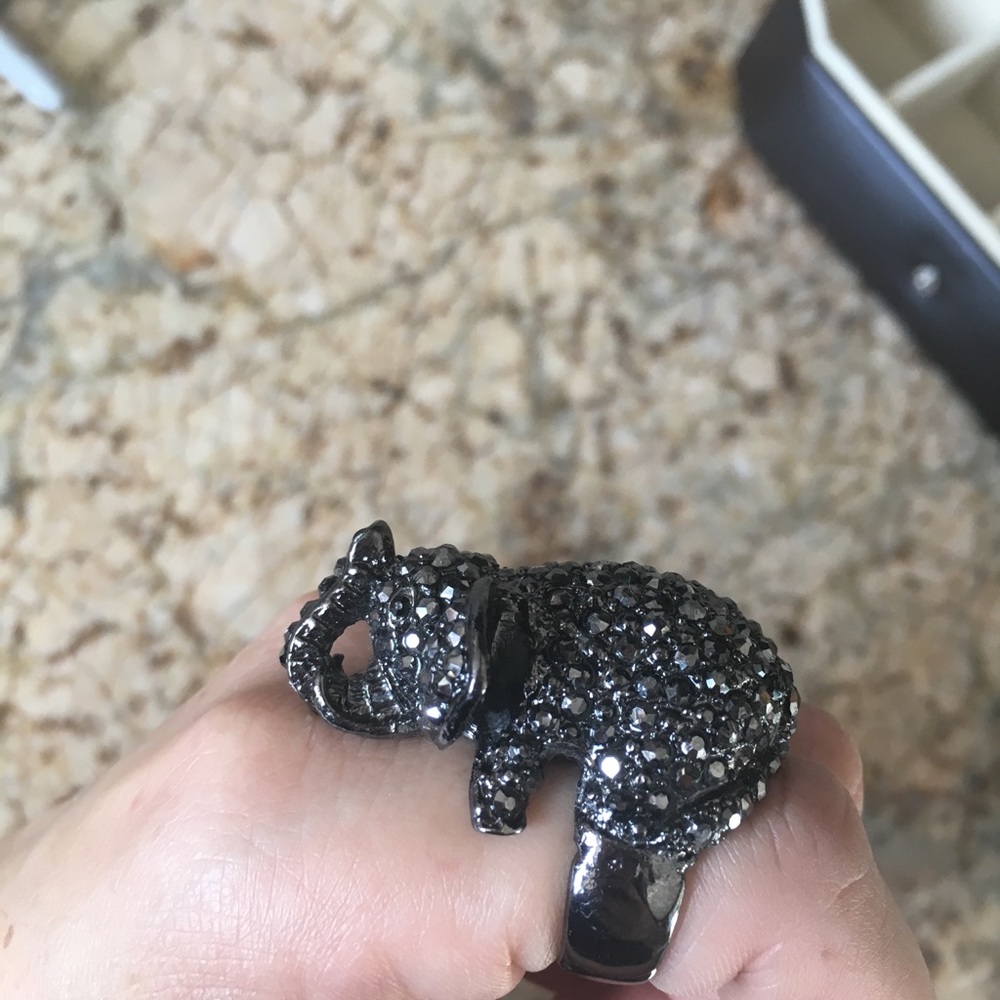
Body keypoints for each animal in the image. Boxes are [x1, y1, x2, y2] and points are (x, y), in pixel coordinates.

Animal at [281, 521, 798, 983]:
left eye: (396, 648)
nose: (372, 540)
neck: (506, 593)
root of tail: (785, 703)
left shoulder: (530, 717)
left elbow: (501, 777)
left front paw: (502, 826)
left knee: (611, 816)